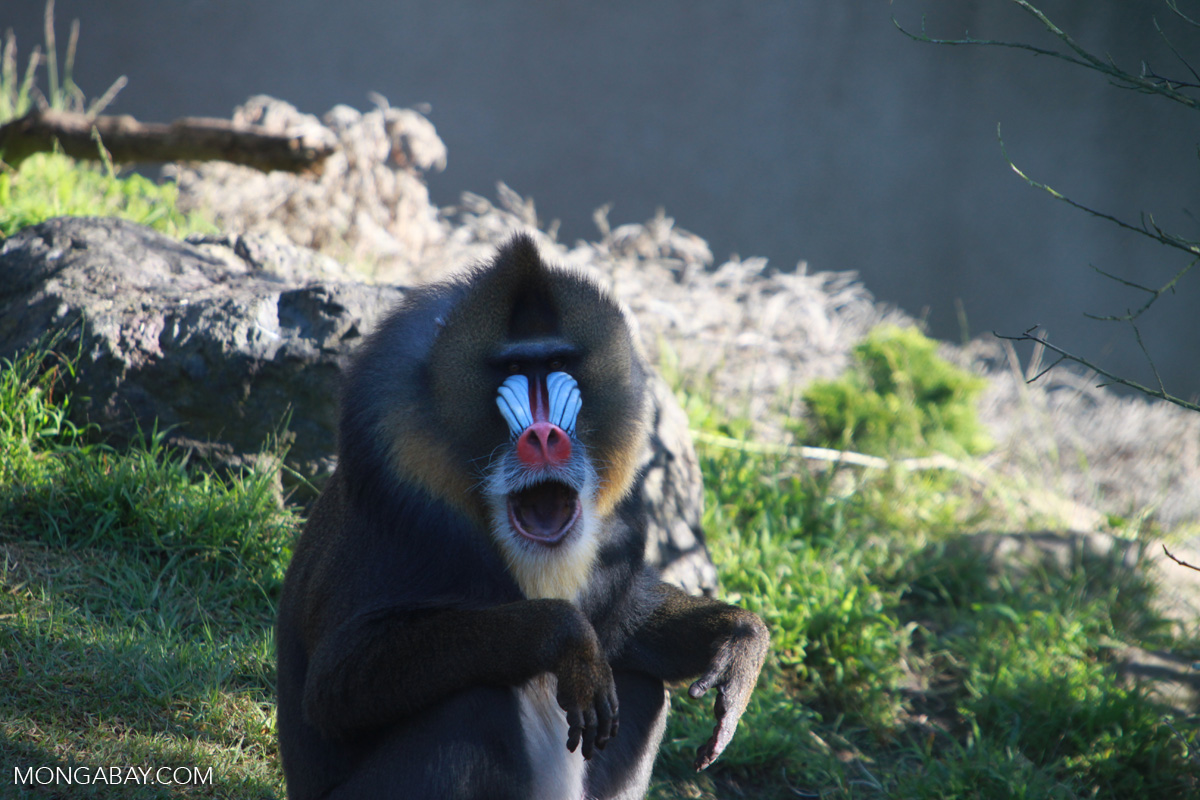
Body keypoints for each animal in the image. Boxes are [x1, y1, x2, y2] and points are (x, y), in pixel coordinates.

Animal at [275, 233, 769, 800]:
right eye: (512, 373)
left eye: (557, 364)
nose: (544, 437)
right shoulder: (396, 516)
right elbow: (337, 685)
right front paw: (566, 637)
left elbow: (627, 627)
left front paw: (737, 638)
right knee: (475, 706)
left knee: (644, 687)